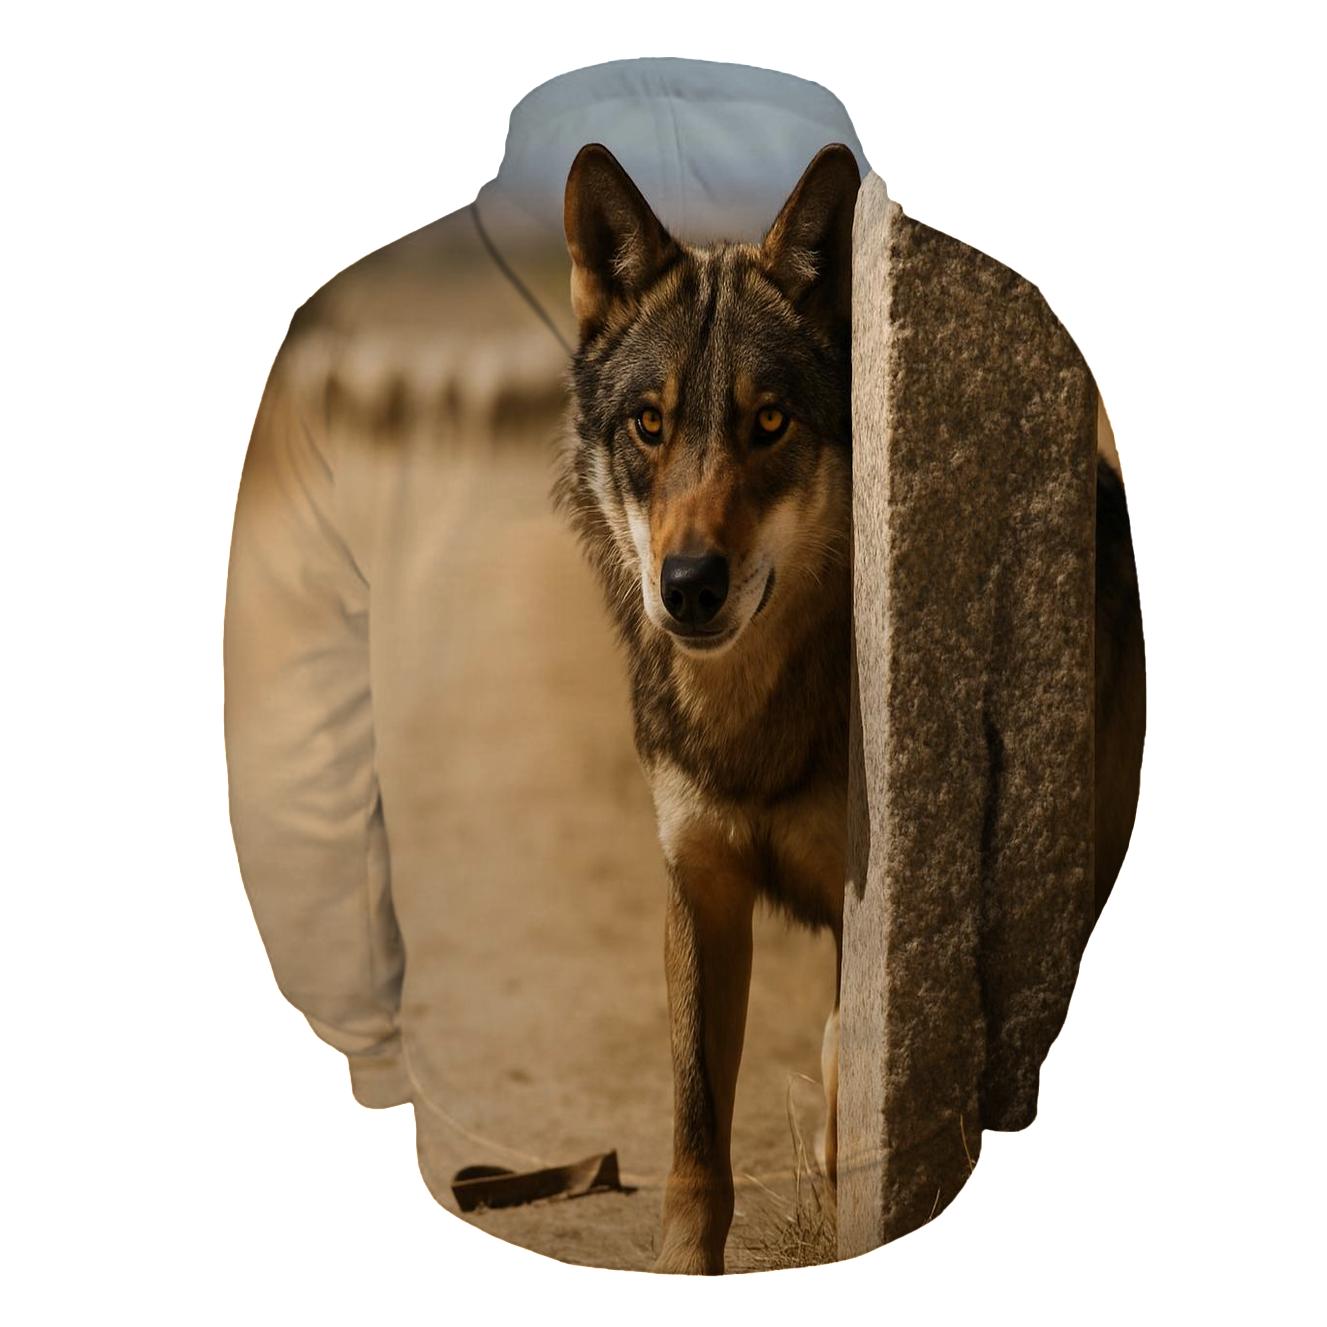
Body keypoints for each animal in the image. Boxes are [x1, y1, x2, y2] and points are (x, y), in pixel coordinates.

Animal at [556, 142, 1144, 1274]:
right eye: (649, 424)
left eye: (768, 421)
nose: (688, 585)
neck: (753, 718)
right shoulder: (699, 892)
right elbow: (695, 1145)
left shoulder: (869, 913)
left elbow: (843, 1083)